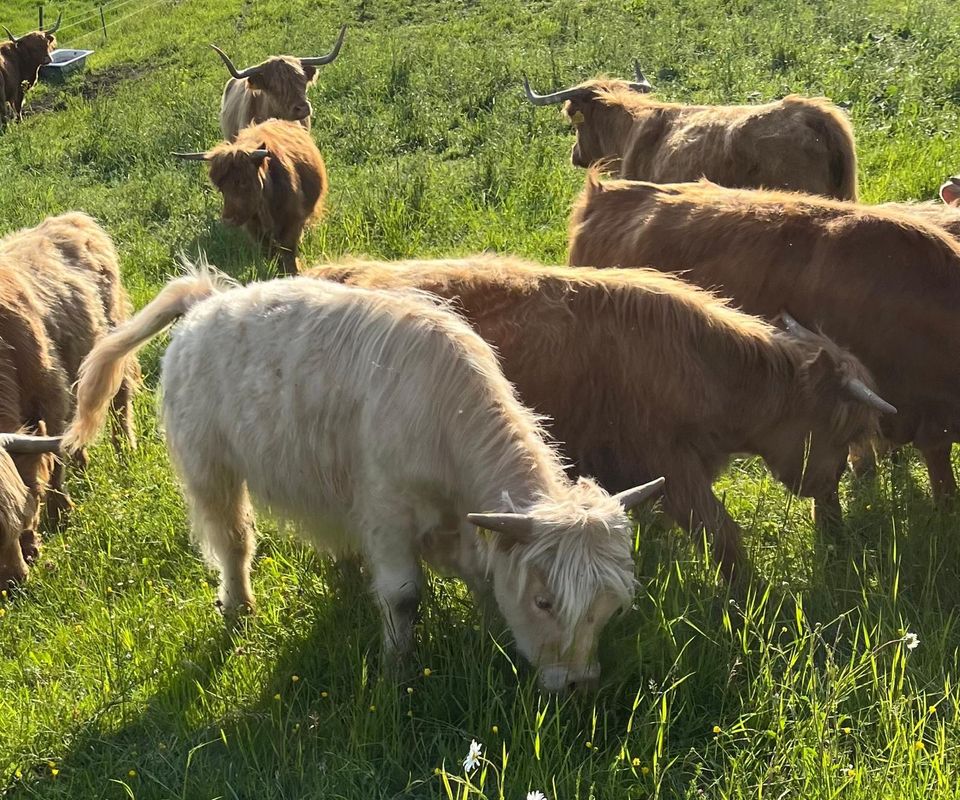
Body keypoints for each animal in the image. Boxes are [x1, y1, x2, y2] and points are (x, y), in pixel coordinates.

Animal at [63, 266, 664, 692]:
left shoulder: (461, 522)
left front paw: (491, 632)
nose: (579, 684)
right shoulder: (388, 512)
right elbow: (403, 596)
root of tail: (206, 300)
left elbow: (481, 576)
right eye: (544, 602)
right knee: (232, 541)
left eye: (610, 608)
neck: (443, 416)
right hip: (210, 467)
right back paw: (237, 605)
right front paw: (397, 670)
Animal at [176, 119, 330, 276]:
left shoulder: (293, 221)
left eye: (244, 181)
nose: (228, 219)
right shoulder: (255, 229)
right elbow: (271, 253)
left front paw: (293, 272)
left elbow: (288, 252)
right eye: (221, 188)